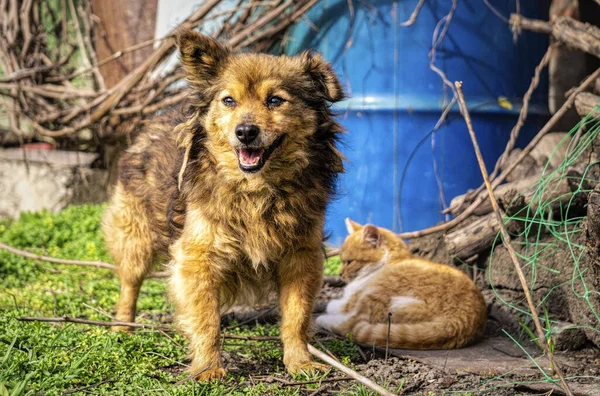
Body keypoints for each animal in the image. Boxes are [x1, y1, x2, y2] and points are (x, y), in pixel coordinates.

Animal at [103, 31, 344, 380]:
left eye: (275, 100)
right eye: (229, 101)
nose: (245, 132)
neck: (256, 190)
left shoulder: (301, 256)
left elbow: (296, 317)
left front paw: (300, 362)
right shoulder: (197, 257)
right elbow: (206, 321)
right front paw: (208, 368)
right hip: (135, 237)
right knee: (129, 284)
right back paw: (121, 328)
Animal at [316, 220, 486, 350]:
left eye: (349, 261)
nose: (339, 274)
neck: (390, 260)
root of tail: (459, 322)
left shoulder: (353, 300)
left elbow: (335, 305)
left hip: (378, 295)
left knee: (351, 325)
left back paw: (324, 320)